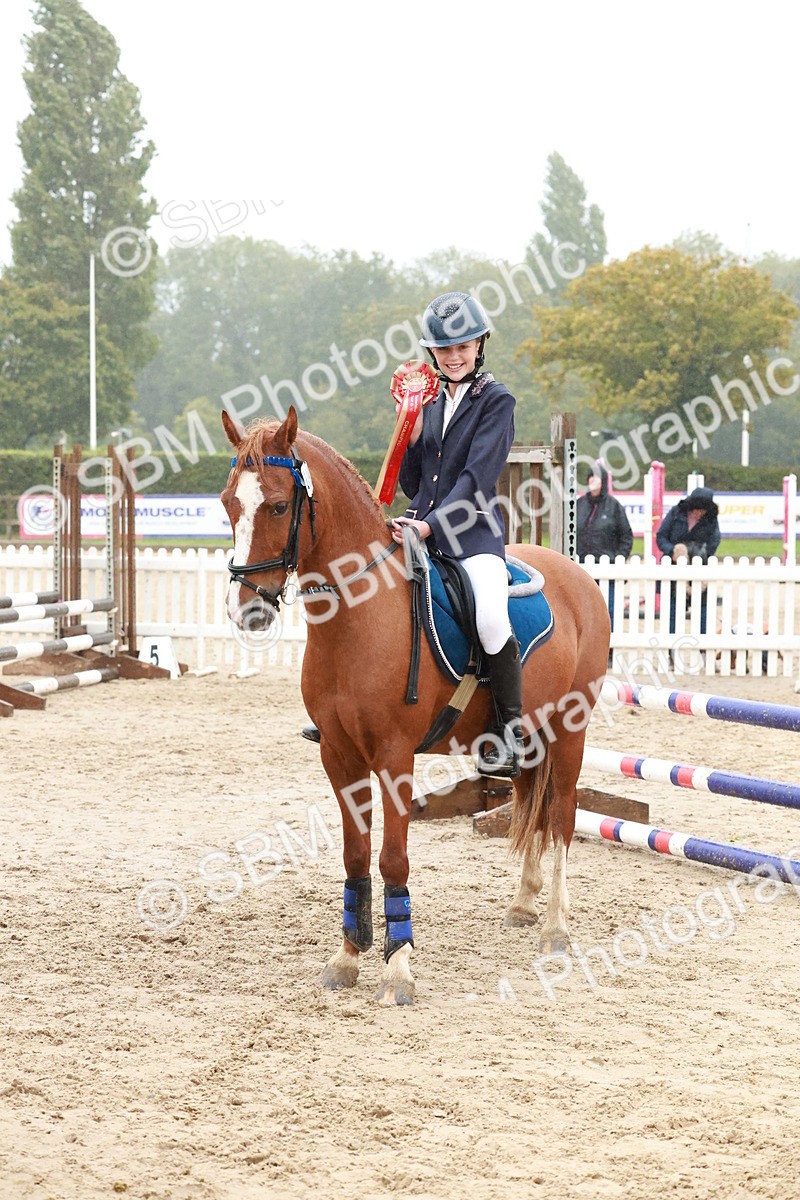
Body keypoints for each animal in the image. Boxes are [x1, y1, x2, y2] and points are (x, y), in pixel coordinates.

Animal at [220, 406, 611, 1007]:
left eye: (280, 505)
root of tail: (578, 579)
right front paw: (347, 957)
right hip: (530, 736)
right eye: (227, 503)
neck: (358, 615)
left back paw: (556, 928)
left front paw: (398, 967)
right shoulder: (339, 756)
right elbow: (355, 855)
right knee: (531, 802)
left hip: (571, 731)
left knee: (562, 815)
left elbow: (392, 857)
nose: (248, 611)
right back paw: (523, 904)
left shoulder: (394, 756)